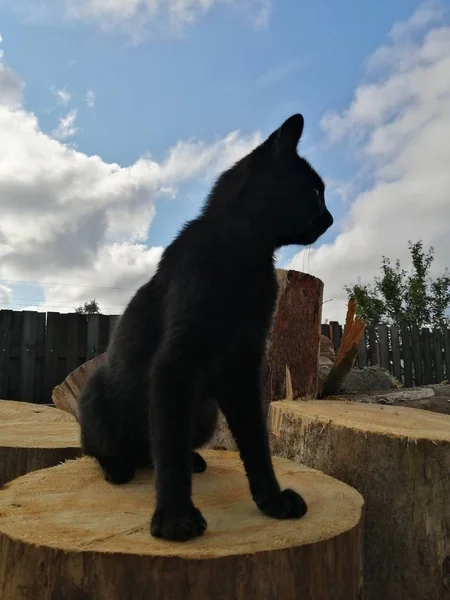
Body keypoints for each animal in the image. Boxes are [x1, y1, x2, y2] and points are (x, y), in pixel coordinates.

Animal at [80, 113, 334, 544]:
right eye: (315, 191)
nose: (330, 218)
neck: (245, 255)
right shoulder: (175, 363)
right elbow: (168, 449)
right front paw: (174, 517)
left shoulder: (243, 367)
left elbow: (255, 443)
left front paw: (272, 502)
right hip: (98, 393)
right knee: (118, 450)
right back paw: (118, 468)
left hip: (205, 412)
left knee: (162, 449)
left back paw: (194, 460)